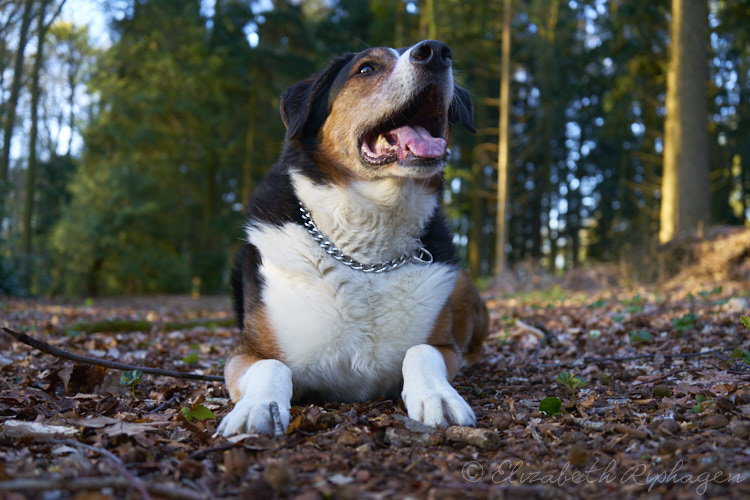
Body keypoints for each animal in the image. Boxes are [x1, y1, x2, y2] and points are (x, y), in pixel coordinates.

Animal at [214, 41, 490, 436]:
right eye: (366, 69)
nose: (436, 51)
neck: (366, 256)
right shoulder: (247, 353)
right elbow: (272, 366)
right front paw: (258, 408)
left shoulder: (442, 346)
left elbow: (421, 351)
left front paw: (439, 397)